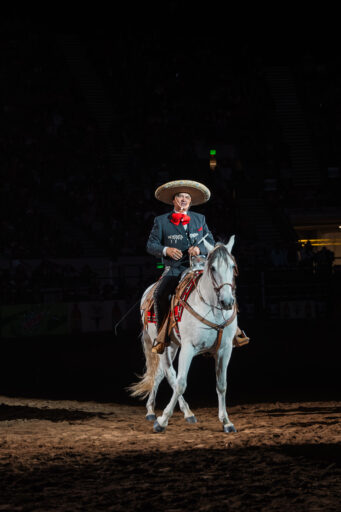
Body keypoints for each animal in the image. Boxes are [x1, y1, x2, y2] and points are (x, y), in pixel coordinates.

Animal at [129, 235, 238, 432]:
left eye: (232, 266)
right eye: (212, 268)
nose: (227, 301)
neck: (211, 308)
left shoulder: (225, 350)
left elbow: (221, 385)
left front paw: (226, 421)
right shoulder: (189, 347)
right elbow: (180, 383)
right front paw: (162, 421)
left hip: (172, 345)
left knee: (159, 374)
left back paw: (157, 410)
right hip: (162, 344)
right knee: (170, 375)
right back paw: (175, 413)